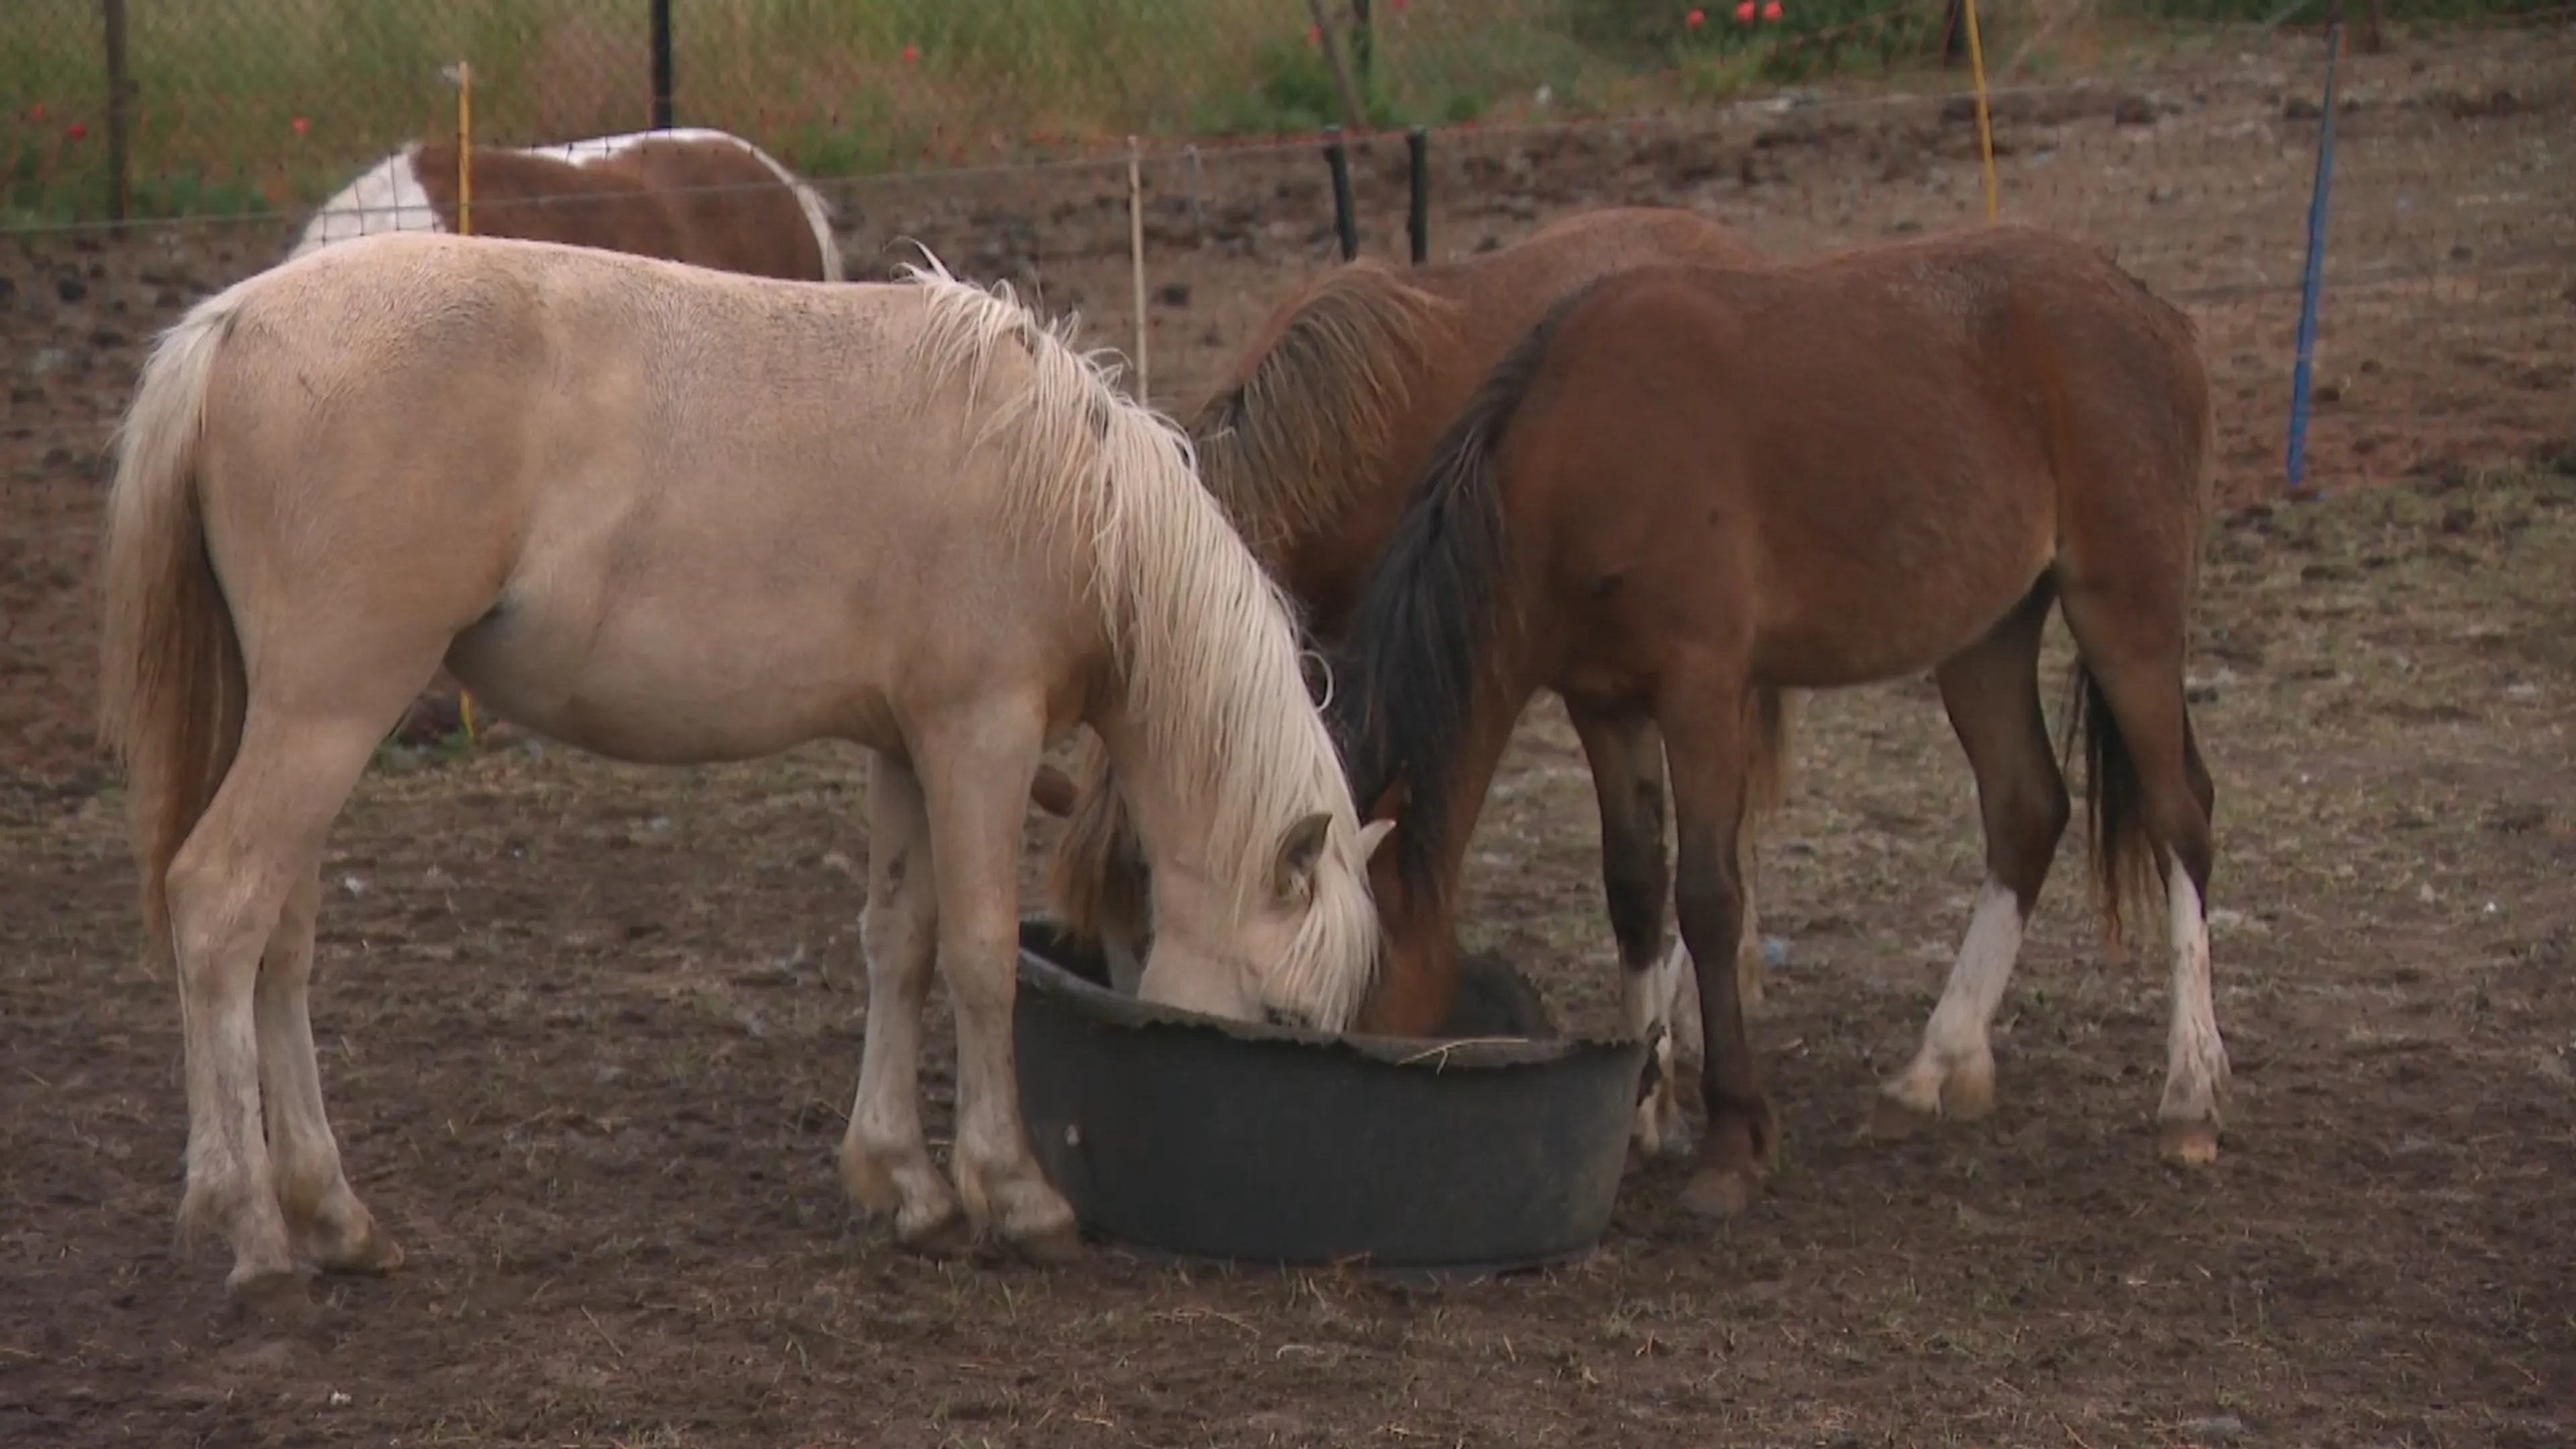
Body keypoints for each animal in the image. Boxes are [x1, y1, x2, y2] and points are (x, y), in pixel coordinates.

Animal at [96, 230, 1390, 1303]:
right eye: (1283, 1015)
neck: (1064, 496)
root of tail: (231, 328)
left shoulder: (907, 747)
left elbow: (899, 943)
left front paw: (904, 1185)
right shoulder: (980, 735)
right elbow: (979, 958)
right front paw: (1012, 1197)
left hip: (303, 722)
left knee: (280, 940)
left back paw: (334, 1217)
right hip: (328, 712)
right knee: (220, 907)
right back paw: (253, 1227)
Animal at [1322, 222, 2224, 1219]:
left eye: (1356, 970)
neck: (1587, 454)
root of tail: (2154, 312)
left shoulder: (1704, 692)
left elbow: (1709, 899)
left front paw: (1731, 1141)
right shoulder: (1604, 704)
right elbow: (1634, 888)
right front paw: (1647, 1111)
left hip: (2125, 613)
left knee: (2181, 817)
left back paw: (2188, 1096)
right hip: (1985, 636)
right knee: (2026, 811)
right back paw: (1929, 1069)